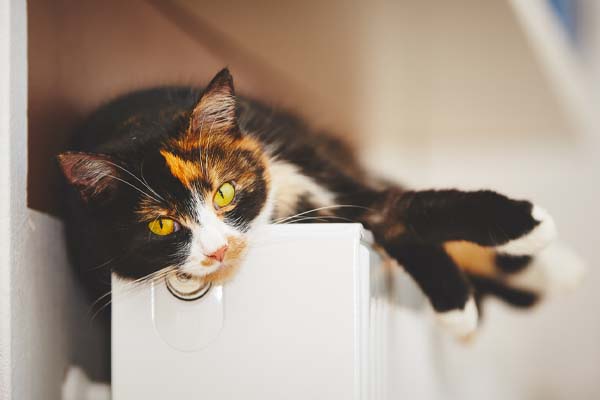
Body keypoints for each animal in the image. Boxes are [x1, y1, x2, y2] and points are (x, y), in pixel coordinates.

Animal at [58, 69, 584, 338]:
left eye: (224, 192)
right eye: (163, 226)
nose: (217, 250)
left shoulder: (308, 159)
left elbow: (407, 205)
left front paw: (526, 225)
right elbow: (395, 220)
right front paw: (457, 304)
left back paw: (557, 268)